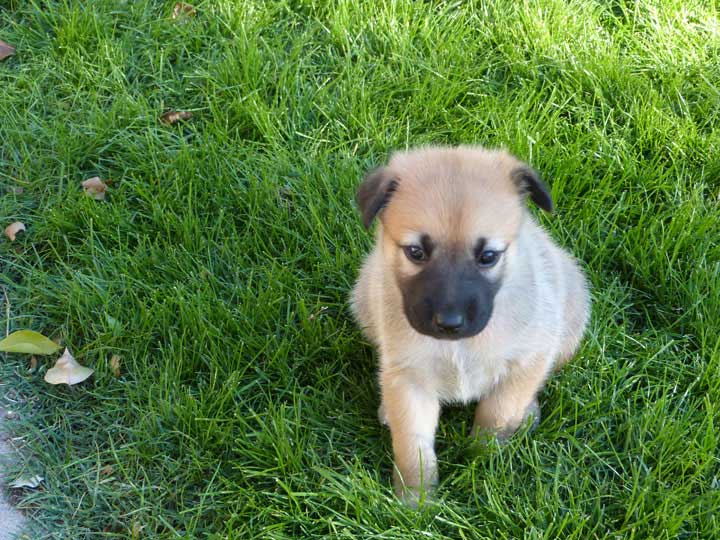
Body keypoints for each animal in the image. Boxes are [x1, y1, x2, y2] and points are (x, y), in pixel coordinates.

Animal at [350, 146, 592, 504]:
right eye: (416, 252)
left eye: (488, 256)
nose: (449, 323)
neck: (458, 348)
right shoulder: (409, 377)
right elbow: (412, 447)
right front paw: (415, 500)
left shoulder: (530, 356)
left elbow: (496, 416)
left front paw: (482, 463)